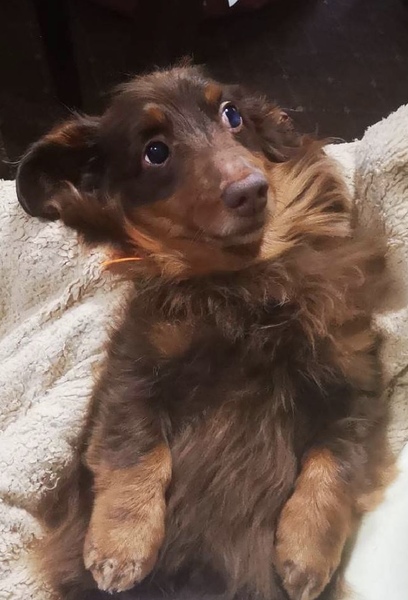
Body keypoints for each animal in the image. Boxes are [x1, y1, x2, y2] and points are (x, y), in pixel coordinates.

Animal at [16, 65, 392, 600]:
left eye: (231, 114)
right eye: (155, 151)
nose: (251, 189)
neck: (243, 281)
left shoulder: (354, 375)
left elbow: (334, 461)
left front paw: (305, 558)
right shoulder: (132, 368)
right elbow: (137, 448)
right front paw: (120, 548)